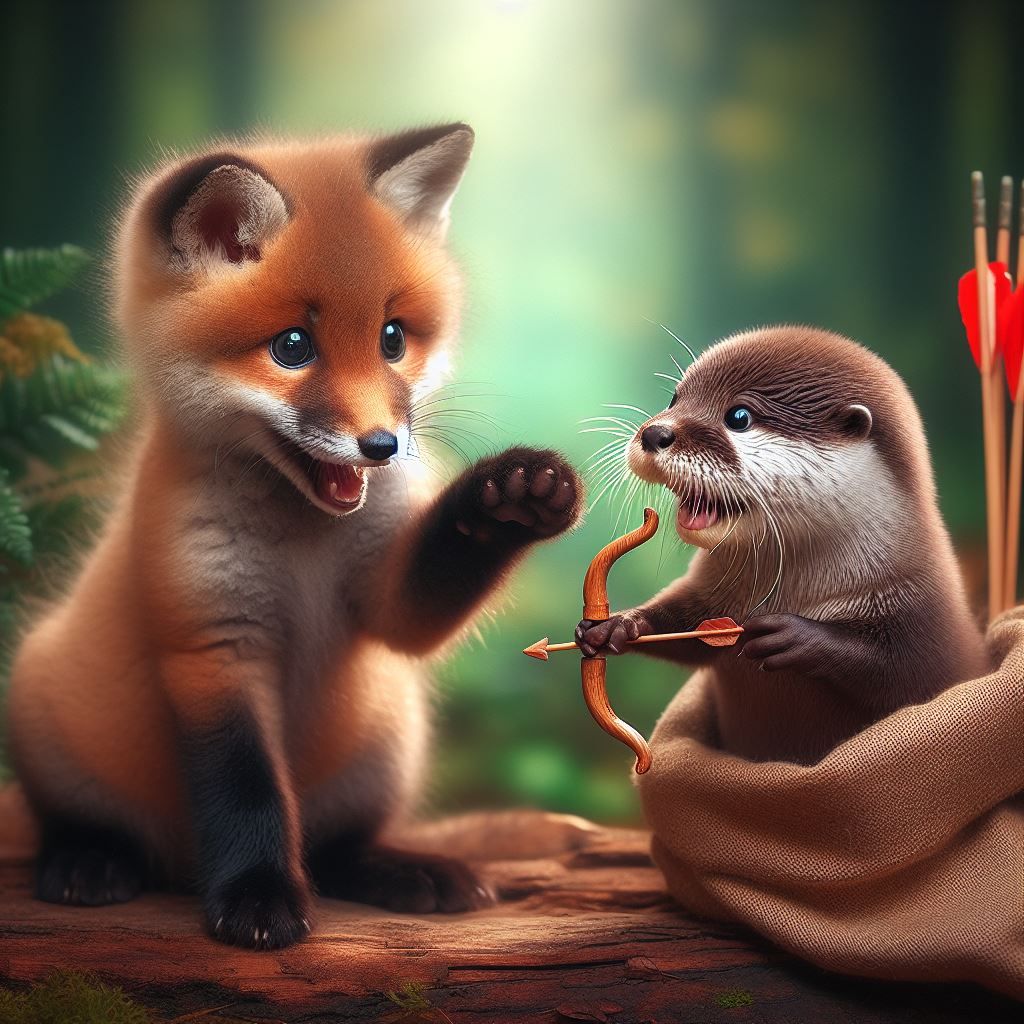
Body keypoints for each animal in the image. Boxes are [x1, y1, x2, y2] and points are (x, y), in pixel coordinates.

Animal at [576, 325, 988, 765]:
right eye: (675, 398)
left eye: (739, 417)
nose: (654, 432)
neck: (797, 590)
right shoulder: (712, 593)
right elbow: (687, 626)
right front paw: (618, 626)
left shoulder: (925, 615)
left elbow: (904, 673)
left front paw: (794, 636)